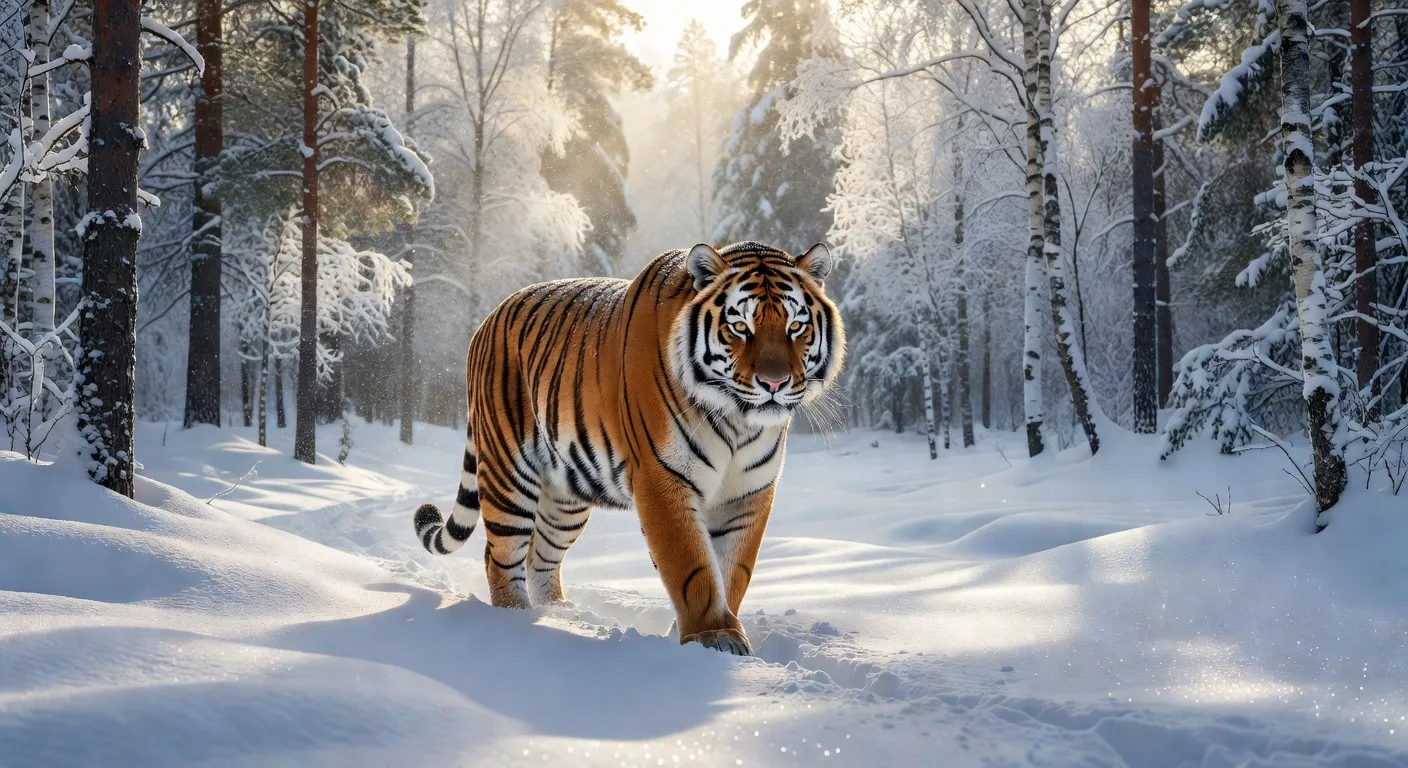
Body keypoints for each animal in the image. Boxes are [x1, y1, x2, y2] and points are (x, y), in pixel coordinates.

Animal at [411, 241, 845, 655]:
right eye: (739, 326)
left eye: (796, 326)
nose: (774, 383)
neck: (737, 420)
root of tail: (486, 320)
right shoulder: (662, 477)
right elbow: (692, 565)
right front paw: (713, 637)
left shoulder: (749, 491)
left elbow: (732, 569)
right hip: (508, 473)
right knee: (500, 556)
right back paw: (513, 622)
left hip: (566, 498)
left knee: (541, 555)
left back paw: (557, 613)